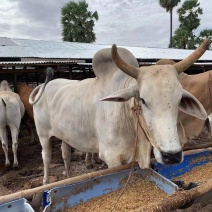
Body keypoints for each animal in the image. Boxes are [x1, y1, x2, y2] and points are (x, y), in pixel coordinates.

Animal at [29, 39, 208, 184]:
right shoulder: (111, 157)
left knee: (65, 154)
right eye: (143, 100)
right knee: (46, 157)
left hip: (65, 134)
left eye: (179, 99)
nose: (172, 156)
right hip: (43, 135)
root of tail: (43, 85)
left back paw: (68, 177)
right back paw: (46, 181)